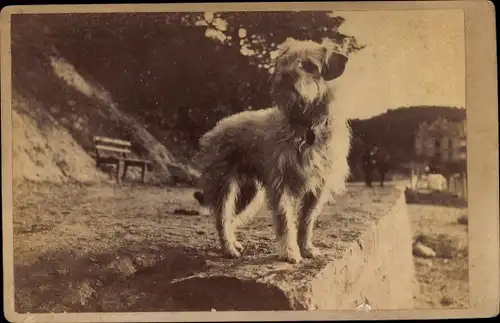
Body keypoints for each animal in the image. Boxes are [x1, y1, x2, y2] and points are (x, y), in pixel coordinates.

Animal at [193, 37, 354, 264]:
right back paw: (228, 249)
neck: (307, 125)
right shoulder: (281, 184)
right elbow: (285, 221)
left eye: (309, 66)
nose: (284, 75)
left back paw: (233, 243)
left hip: (248, 194)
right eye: (285, 62)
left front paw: (306, 248)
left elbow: (306, 221)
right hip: (224, 187)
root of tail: (216, 128)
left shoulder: (318, 187)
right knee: (222, 219)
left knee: (231, 218)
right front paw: (290, 252)